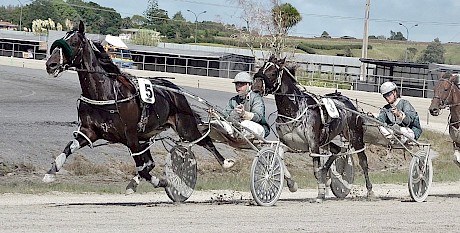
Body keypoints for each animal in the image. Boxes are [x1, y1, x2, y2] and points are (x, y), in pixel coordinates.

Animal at [43, 21, 234, 193]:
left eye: (73, 43)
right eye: (60, 41)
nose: (50, 64)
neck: (105, 94)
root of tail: (175, 90)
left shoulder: (131, 137)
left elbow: (142, 168)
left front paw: (162, 182)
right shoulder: (90, 132)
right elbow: (69, 147)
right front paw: (51, 172)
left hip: (185, 128)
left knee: (205, 141)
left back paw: (226, 162)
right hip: (146, 136)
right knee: (150, 162)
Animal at [252, 55, 374, 201]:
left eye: (273, 72)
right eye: (261, 68)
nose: (255, 86)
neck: (295, 108)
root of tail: (348, 102)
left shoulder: (313, 143)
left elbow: (316, 170)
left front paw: (320, 194)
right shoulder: (288, 143)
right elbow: (280, 159)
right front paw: (292, 184)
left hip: (355, 136)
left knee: (363, 161)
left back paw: (370, 191)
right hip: (327, 140)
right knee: (337, 150)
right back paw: (326, 173)